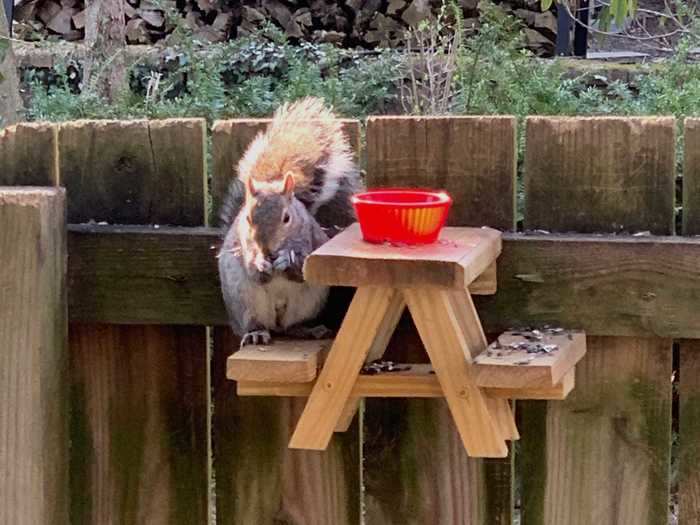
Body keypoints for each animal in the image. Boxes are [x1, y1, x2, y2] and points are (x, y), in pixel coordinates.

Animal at [217, 96, 360, 346]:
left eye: (287, 218)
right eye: (247, 218)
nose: (267, 249)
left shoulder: (309, 238)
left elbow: (302, 270)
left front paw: (288, 259)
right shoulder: (244, 246)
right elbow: (254, 271)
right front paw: (260, 264)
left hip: (308, 302)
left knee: (292, 325)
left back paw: (308, 330)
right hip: (243, 302)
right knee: (254, 322)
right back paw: (255, 333)